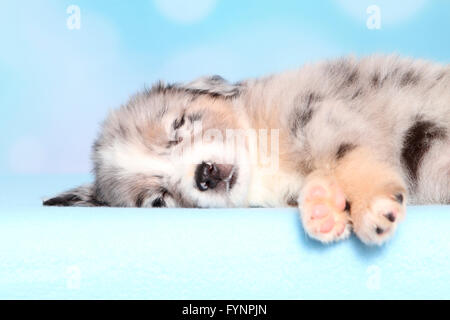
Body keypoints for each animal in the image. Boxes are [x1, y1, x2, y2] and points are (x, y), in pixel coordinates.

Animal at [43, 55, 450, 245]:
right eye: (159, 200)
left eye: (179, 125)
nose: (205, 174)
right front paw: (322, 208)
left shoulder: (321, 113)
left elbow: (349, 156)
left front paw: (372, 209)